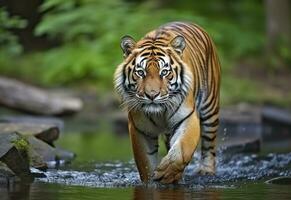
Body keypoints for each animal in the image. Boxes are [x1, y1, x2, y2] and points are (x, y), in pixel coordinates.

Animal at [114, 21, 221, 184]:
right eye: (140, 72)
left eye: (164, 72)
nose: (152, 95)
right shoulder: (140, 129)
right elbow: (145, 162)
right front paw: (152, 181)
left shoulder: (188, 118)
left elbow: (182, 150)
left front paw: (167, 172)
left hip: (210, 110)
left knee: (209, 145)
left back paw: (206, 171)